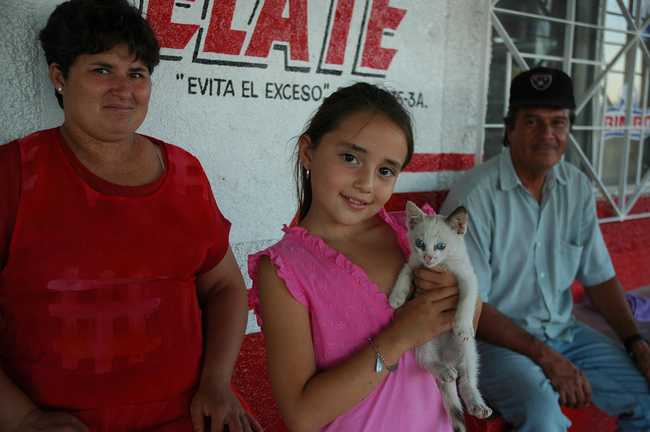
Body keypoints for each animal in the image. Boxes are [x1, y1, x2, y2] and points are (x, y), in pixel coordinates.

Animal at [388, 202, 488, 432]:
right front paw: (396, 298)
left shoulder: (469, 277)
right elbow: (404, 274)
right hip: (421, 340)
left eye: (440, 246)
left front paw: (463, 325)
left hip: (467, 349)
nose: (427, 258)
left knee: (467, 378)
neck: (442, 264)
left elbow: (468, 299)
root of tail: (445, 356)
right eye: (419, 243)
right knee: (428, 361)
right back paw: (443, 371)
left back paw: (476, 403)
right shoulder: (413, 263)